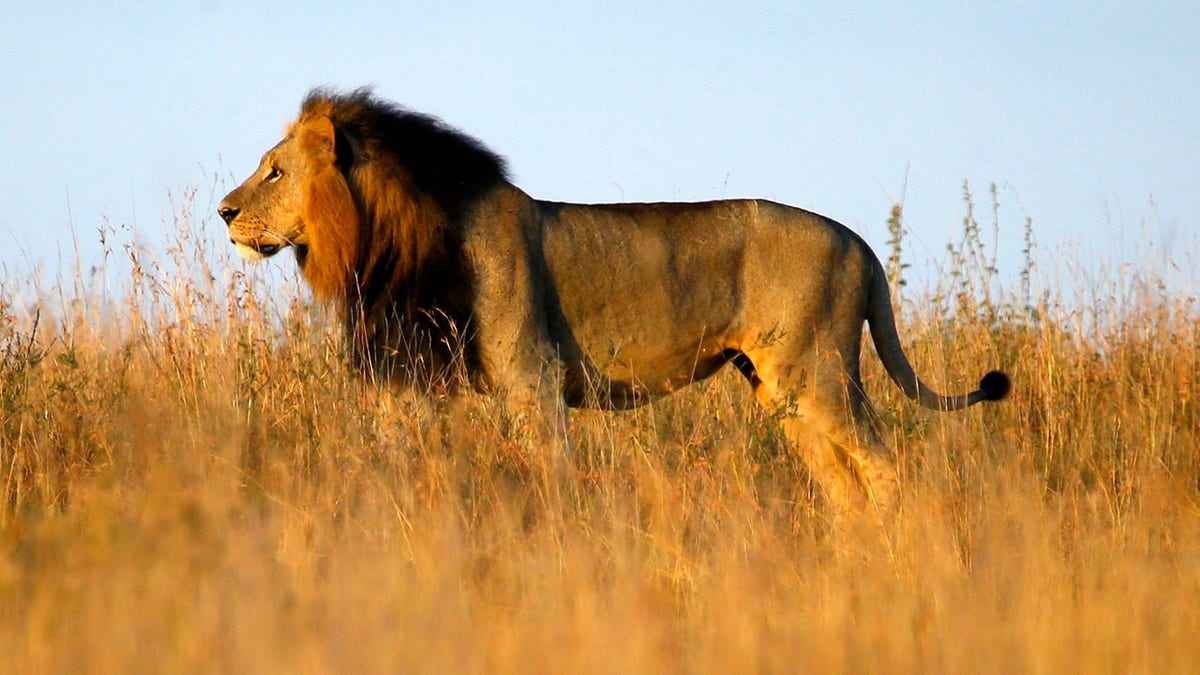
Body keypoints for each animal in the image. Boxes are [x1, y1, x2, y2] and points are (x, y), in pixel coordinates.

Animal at [220, 88, 1008, 509]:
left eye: (274, 171)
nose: (224, 212)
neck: (388, 236)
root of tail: (860, 242)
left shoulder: (531, 375)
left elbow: (552, 470)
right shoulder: (419, 374)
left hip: (818, 374)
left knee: (885, 464)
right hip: (781, 390)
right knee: (842, 482)